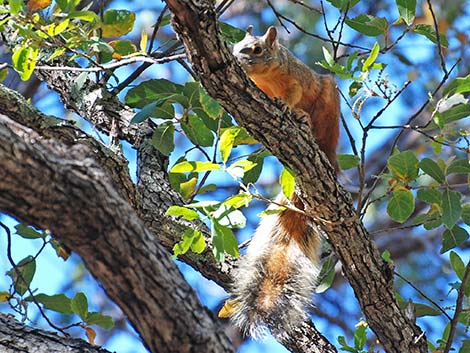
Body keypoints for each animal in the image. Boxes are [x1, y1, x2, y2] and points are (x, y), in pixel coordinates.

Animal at [218, 26, 340, 336]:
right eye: (235, 46)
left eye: (258, 49)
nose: (239, 60)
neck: (266, 78)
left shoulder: (295, 78)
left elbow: (294, 95)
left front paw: (287, 107)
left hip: (329, 105)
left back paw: (309, 127)